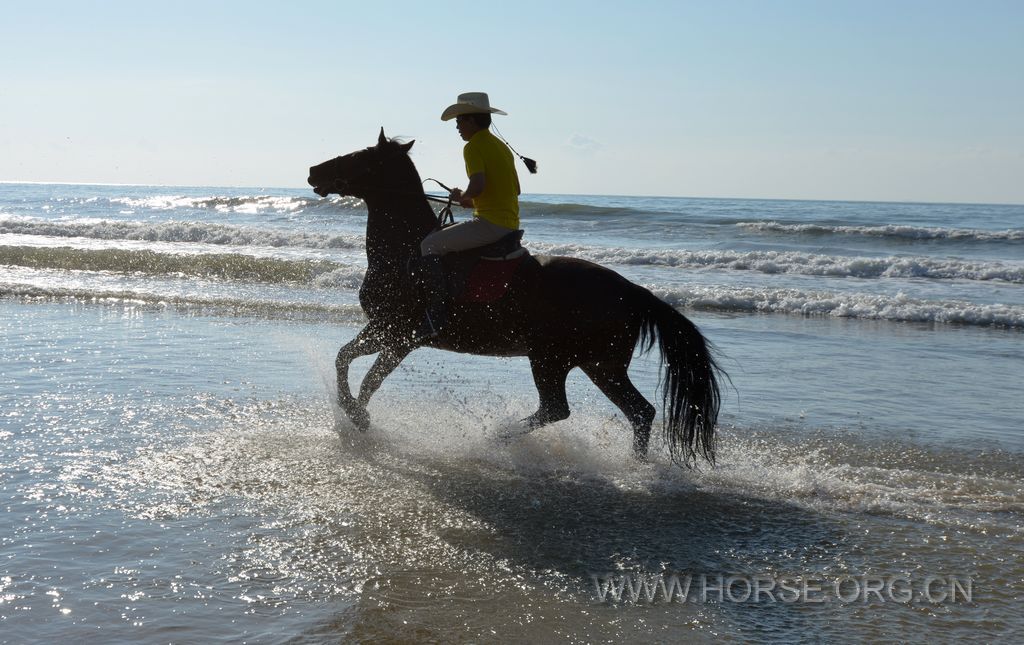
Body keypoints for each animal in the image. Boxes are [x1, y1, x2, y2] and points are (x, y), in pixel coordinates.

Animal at [307, 130, 724, 464]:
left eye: (359, 156)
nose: (313, 171)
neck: (404, 250)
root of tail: (633, 291)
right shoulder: (388, 331)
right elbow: (349, 362)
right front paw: (355, 416)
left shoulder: (400, 335)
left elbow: (364, 374)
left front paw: (358, 418)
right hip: (600, 365)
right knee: (640, 412)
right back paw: (637, 465)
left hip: (552, 360)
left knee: (558, 408)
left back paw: (497, 436)